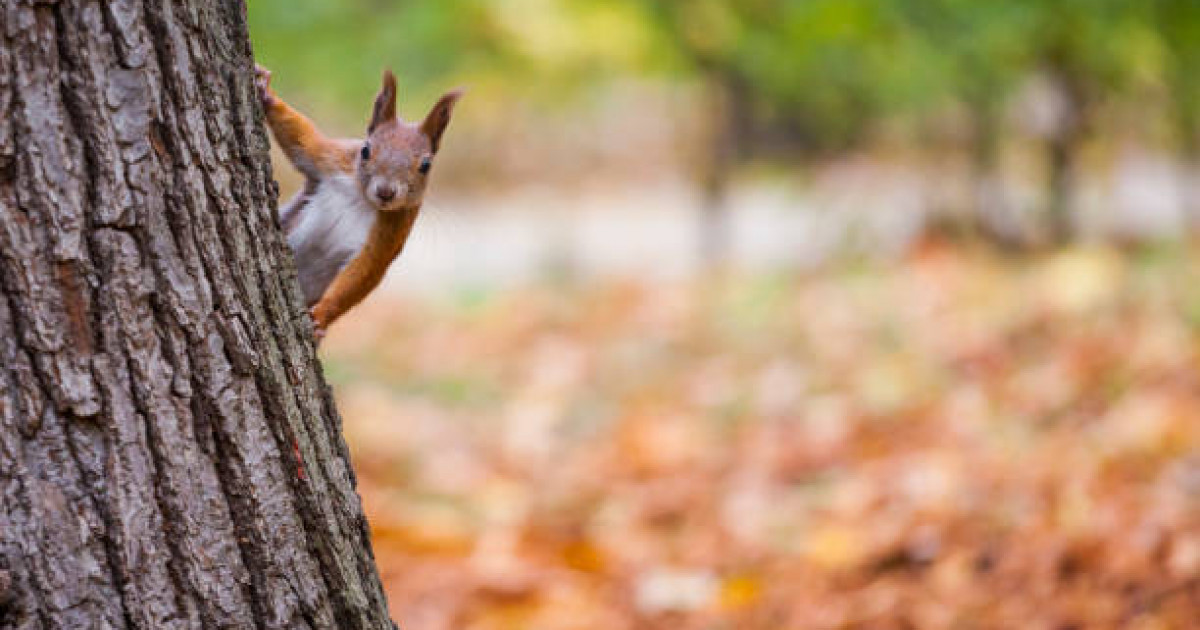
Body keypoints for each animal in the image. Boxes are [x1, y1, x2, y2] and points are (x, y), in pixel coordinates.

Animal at [253, 63, 458, 338]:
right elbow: (303, 139)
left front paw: (321, 317)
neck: (362, 198)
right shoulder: (331, 159)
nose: (386, 192)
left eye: (426, 165)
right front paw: (266, 91)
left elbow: (362, 272)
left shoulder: (389, 235)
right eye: (365, 150)